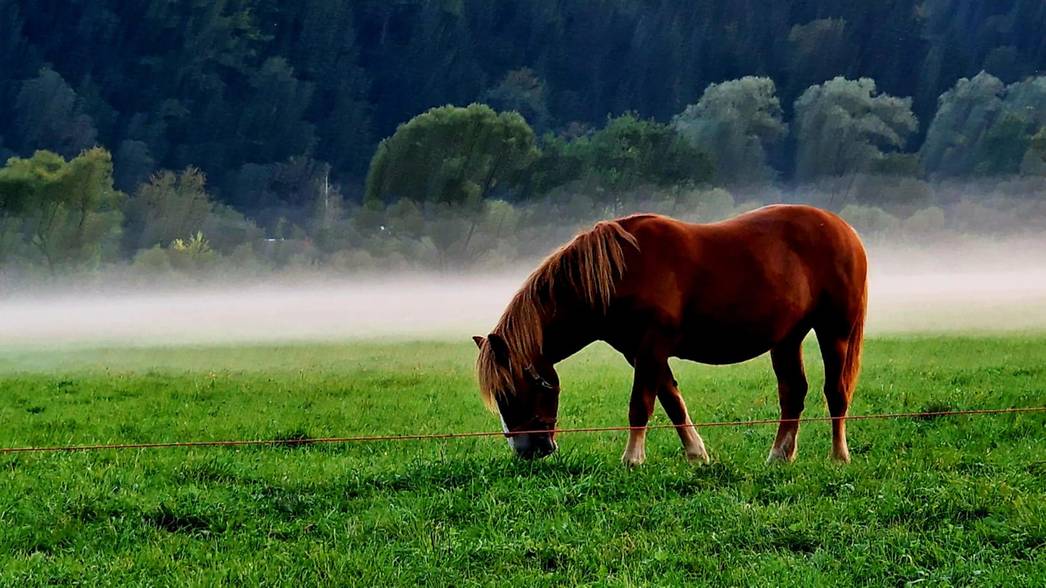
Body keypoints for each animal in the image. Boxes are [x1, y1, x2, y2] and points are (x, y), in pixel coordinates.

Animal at [474, 204, 866, 464]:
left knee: (835, 393)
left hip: (835, 332)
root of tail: (844, 229)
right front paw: (697, 455)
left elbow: (640, 405)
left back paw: (838, 456)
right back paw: (779, 456)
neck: (619, 272)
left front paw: (632, 460)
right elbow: (672, 402)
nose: (527, 451)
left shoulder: (650, 348)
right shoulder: (644, 353)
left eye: (512, 392)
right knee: (793, 393)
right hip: (787, 339)